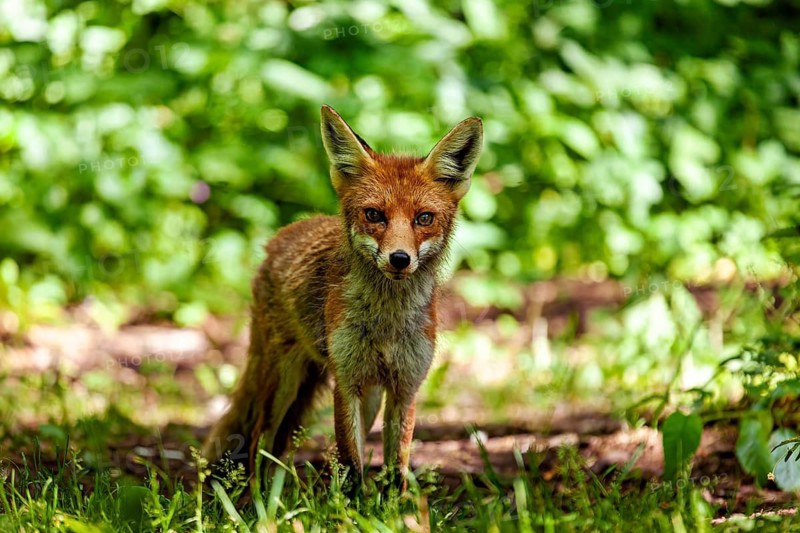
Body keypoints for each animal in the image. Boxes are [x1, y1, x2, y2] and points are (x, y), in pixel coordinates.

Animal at [203, 105, 483, 486]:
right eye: (374, 215)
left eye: (424, 218)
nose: (399, 259)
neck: (386, 321)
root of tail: (284, 234)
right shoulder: (346, 380)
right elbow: (351, 464)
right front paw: (349, 500)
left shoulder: (405, 386)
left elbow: (396, 466)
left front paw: (393, 501)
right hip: (283, 382)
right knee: (261, 440)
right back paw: (259, 496)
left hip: (370, 393)